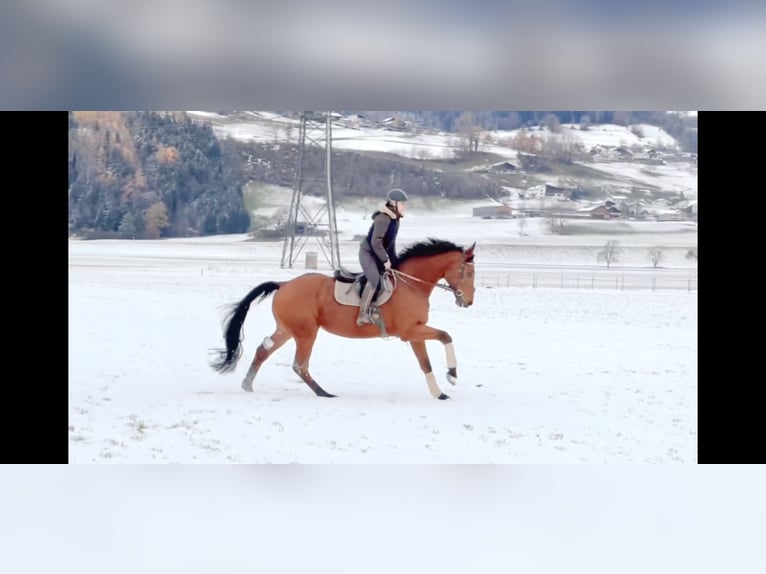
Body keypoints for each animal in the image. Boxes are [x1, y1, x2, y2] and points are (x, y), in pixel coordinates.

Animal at [208, 238, 474, 400]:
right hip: (306, 332)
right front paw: (452, 375)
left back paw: (247, 385)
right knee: (299, 364)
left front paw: (440, 393)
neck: (412, 284)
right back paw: (323, 393)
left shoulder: (415, 333)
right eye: (469, 272)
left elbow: (425, 363)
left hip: (287, 329)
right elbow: (446, 336)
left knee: (263, 350)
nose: (469, 302)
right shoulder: (410, 331)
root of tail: (283, 284)